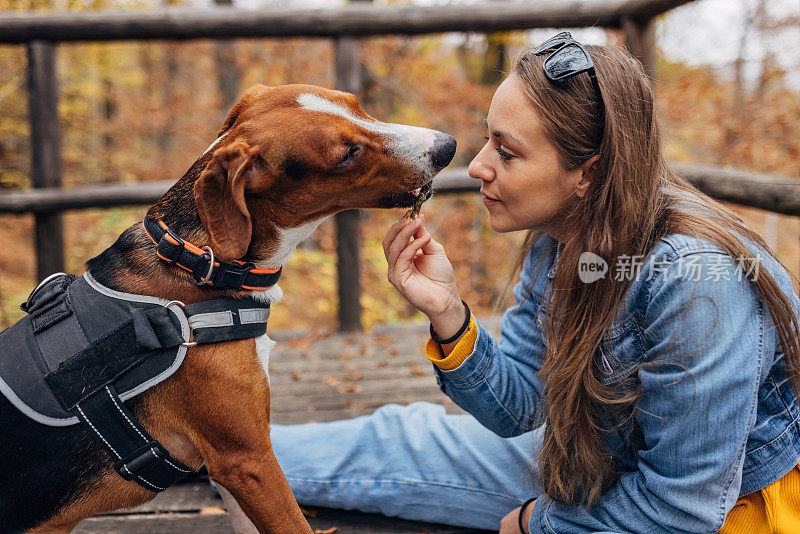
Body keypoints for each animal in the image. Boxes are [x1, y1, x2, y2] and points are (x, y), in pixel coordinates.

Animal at [0, 85, 456, 534]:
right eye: (346, 153)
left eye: (357, 105)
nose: (447, 147)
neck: (197, 262)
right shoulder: (247, 460)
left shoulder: (233, 471)